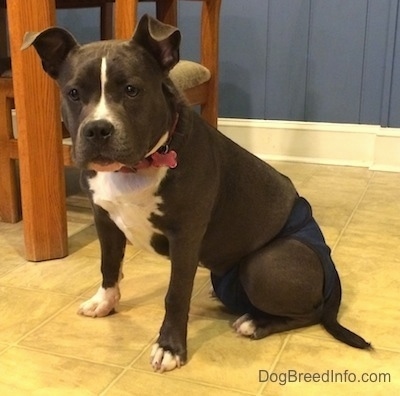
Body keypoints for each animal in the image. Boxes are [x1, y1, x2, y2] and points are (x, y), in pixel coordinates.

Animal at [23, 14, 370, 372]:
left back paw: (256, 322)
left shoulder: (185, 236)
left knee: (308, 312)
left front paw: (170, 348)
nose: (98, 129)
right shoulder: (104, 220)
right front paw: (104, 302)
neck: (137, 166)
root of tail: (331, 278)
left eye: (132, 90)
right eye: (73, 93)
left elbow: (176, 295)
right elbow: (108, 266)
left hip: (266, 263)